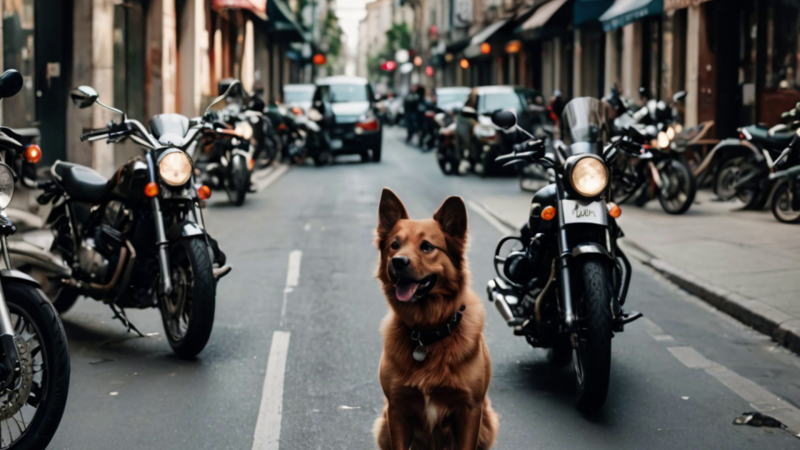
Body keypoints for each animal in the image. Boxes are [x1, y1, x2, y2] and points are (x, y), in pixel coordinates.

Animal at [372, 189, 496, 450]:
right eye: (394, 245)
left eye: (427, 246)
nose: (398, 261)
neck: (427, 332)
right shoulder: (397, 408)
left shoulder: (470, 409)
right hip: (383, 424)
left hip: (489, 422)